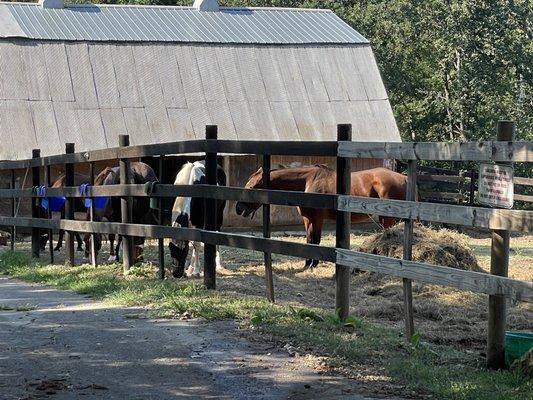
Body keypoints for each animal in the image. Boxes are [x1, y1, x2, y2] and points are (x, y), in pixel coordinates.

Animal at [235, 166, 406, 268]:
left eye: (251, 187)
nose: (238, 208)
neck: (308, 181)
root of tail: (403, 178)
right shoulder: (307, 219)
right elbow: (309, 240)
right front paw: (307, 264)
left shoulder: (317, 218)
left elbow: (315, 240)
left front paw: (314, 263)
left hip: (389, 218)